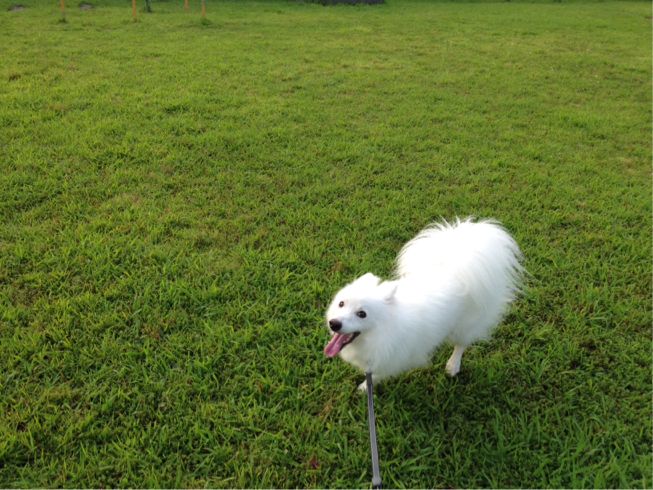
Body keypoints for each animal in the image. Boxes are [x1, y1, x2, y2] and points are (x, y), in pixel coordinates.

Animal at [324, 218, 524, 390]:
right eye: (341, 304)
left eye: (362, 314)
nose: (334, 324)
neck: (383, 329)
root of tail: (456, 268)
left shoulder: (392, 358)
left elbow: (378, 373)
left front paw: (365, 387)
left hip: (465, 324)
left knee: (461, 344)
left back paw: (453, 365)